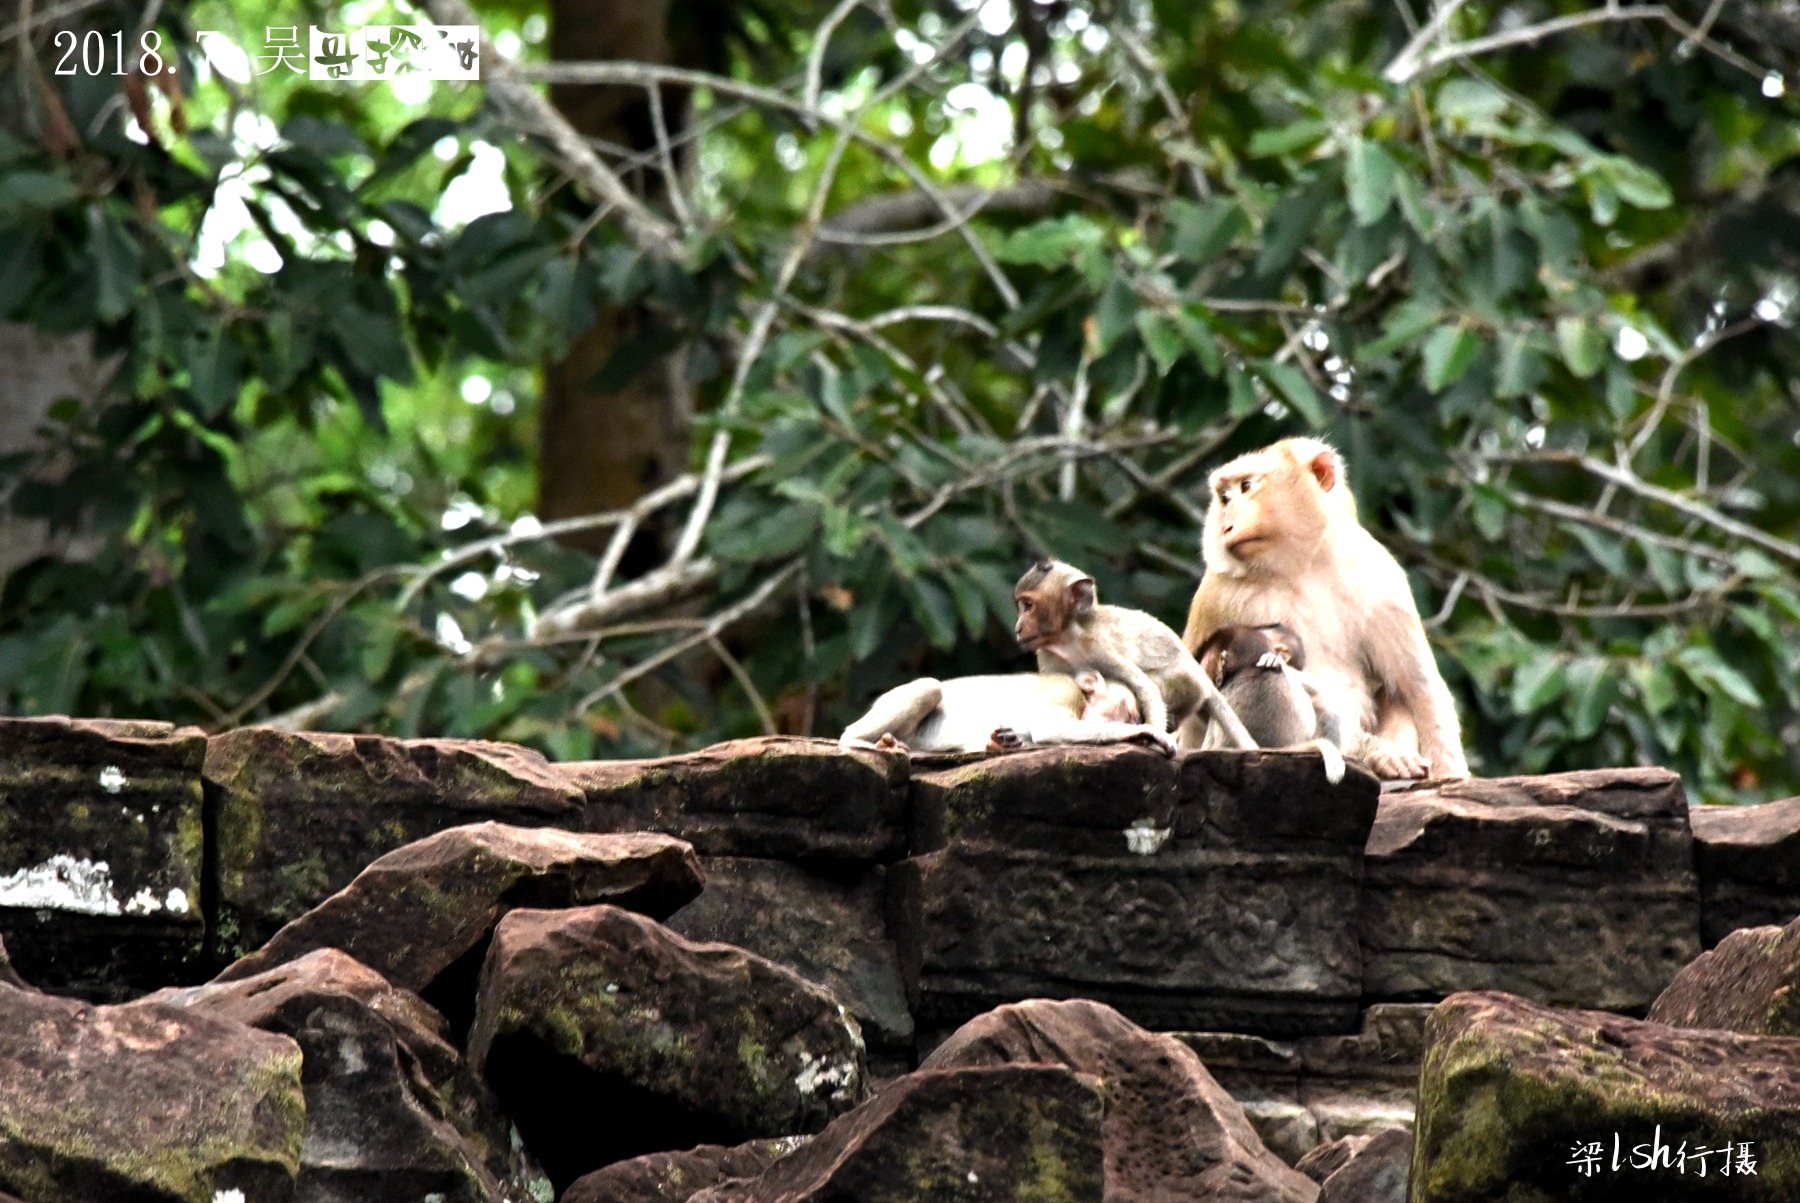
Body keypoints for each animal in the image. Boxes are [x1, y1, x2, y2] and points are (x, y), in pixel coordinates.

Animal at [1015, 558, 1252, 745]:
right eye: (1020, 605)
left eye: (1028, 606)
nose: (1018, 627)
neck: (1067, 639)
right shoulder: (1046, 655)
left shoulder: (1099, 648)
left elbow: (1145, 688)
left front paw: (1155, 734)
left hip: (1189, 685)